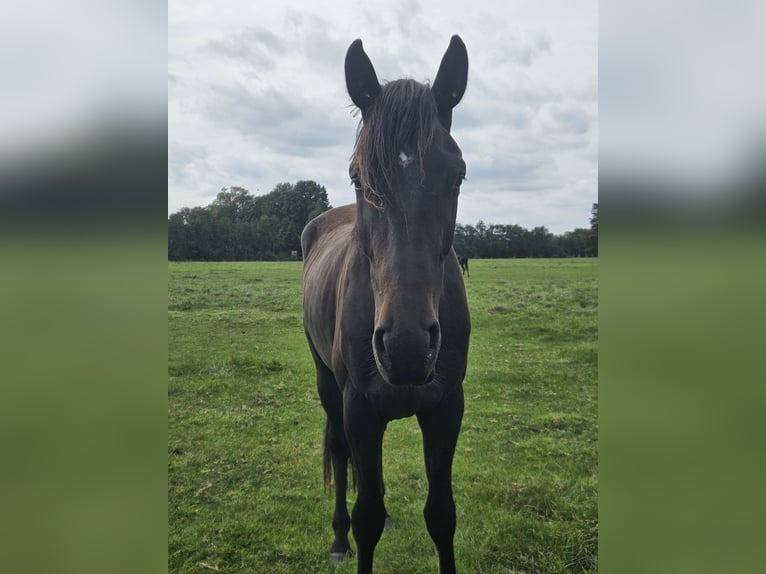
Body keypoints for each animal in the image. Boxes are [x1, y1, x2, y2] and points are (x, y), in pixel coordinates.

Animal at [302, 36, 472, 574]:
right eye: (358, 178)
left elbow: (441, 514)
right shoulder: (358, 407)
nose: (406, 348)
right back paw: (338, 538)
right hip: (328, 386)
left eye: (457, 176)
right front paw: (350, 536)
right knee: (341, 457)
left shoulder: (446, 407)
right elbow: (367, 518)